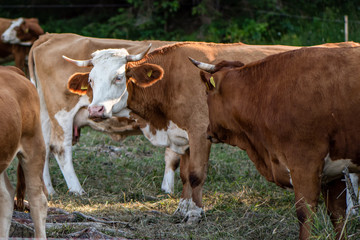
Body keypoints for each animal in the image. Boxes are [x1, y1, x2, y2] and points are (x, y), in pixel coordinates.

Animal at [28, 32, 180, 196]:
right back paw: (77, 189)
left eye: (119, 77)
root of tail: (50, 36)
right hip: (62, 113)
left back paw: (48, 191)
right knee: (60, 147)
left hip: (44, 114)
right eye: (90, 80)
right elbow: (174, 157)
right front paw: (170, 190)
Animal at [191, 46, 360, 238]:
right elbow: (338, 216)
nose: (208, 131)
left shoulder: (304, 166)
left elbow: (305, 215)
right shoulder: (334, 172)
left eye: (206, 93)